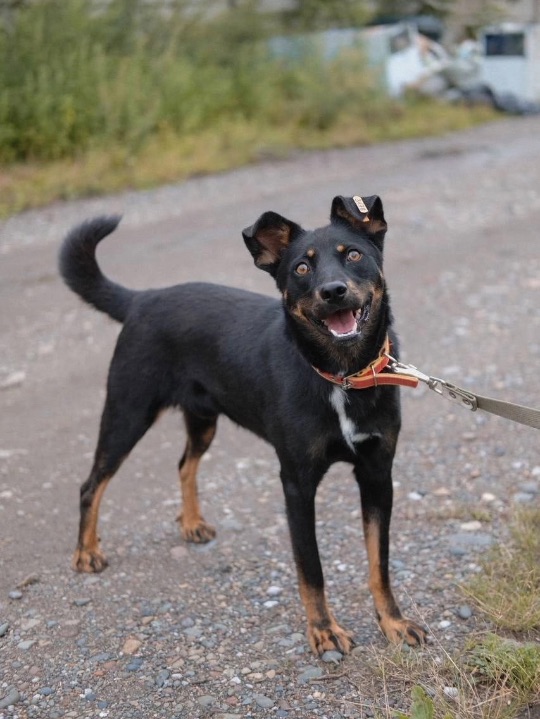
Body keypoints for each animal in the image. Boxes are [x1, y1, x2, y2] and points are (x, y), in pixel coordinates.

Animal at [59, 194, 427, 656]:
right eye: (301, 268)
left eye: (354, 255)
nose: (333, 291)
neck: (340, 376)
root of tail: (143, 299)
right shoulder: (297, 483)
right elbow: (311, 569)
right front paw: (324, 630)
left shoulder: (377, 474)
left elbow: (380, 563)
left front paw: (392, 622)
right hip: (128, 413)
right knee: (91, 485)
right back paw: (86, 552)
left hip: (201, 419)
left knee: (184, 464)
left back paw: (191, 523)